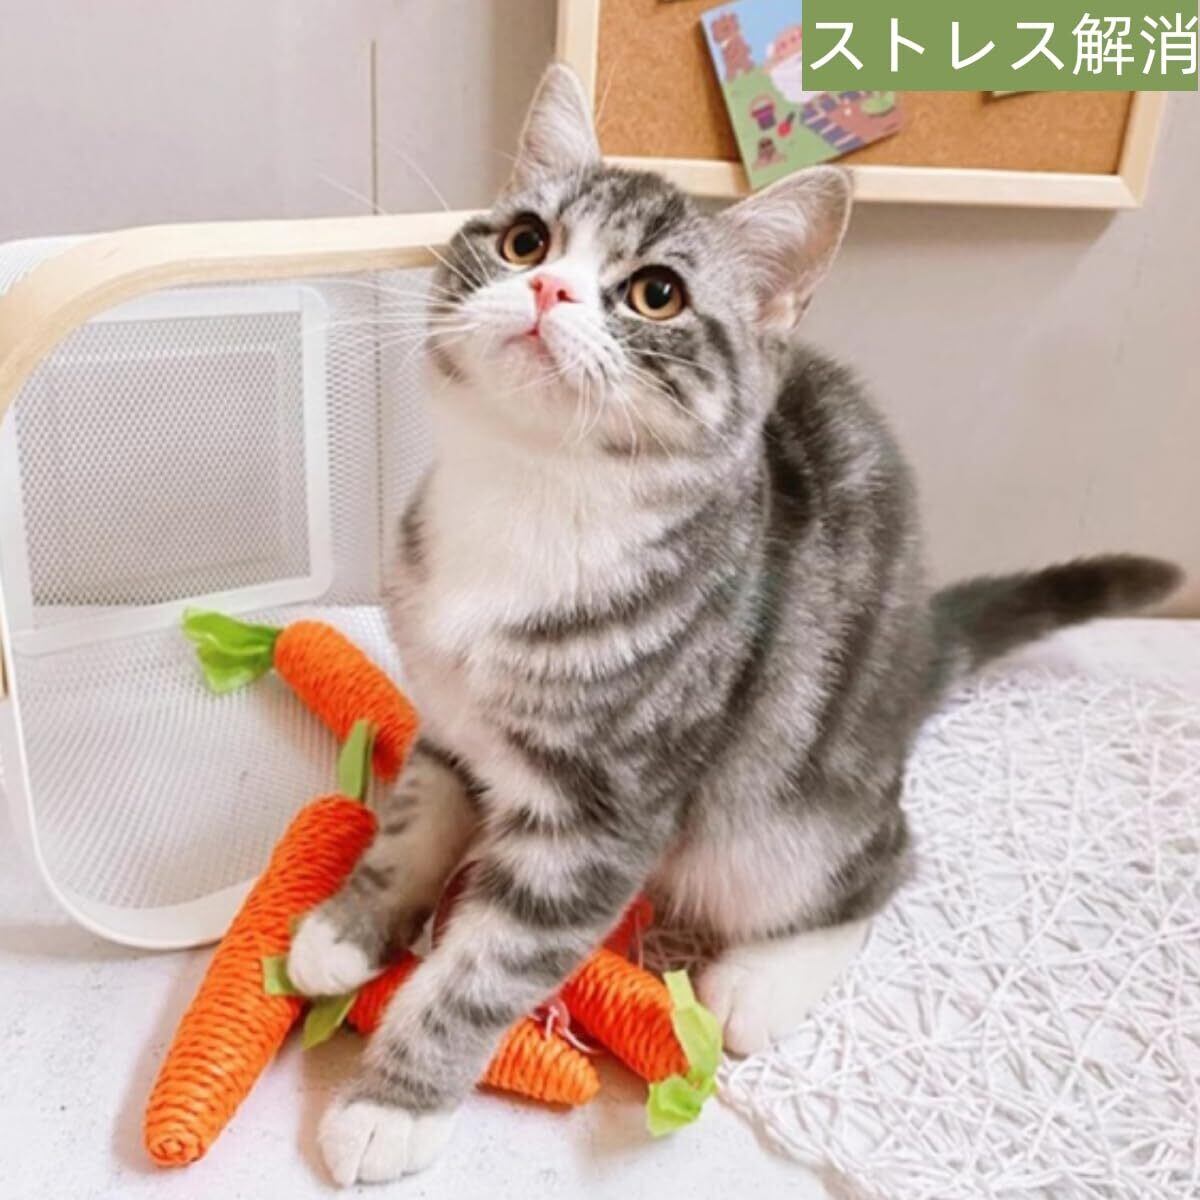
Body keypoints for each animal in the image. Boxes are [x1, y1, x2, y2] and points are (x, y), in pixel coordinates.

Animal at [286, 64, 1181, 1185]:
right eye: (527, 240)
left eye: (656, 293)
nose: (546, 290)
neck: (530, 501)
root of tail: (918, 650)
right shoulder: (453, 726)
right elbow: (413, 821)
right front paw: (349, 924)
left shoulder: (605, 813)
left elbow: (487, 964)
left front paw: (391, 1103)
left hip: (781, 810)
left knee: (880, 865)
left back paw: (762, 980)